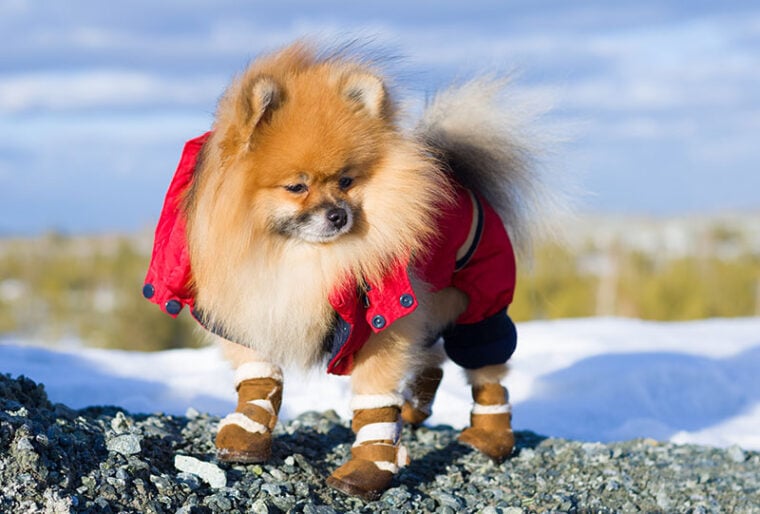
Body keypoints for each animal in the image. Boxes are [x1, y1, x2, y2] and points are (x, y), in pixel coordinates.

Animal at [142, 41, 548, 500]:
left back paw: (489, 436)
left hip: (478, 304)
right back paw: (415, 408)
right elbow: (257, 374)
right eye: (297, 186)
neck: (298, 257)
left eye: (347, 181)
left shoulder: (383, 322)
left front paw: (368, 468)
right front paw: (246, 433)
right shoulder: (251, 302)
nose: (338, 215)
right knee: (432, 358)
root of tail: (460, 175)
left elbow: (375, 401)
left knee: (486, 367)